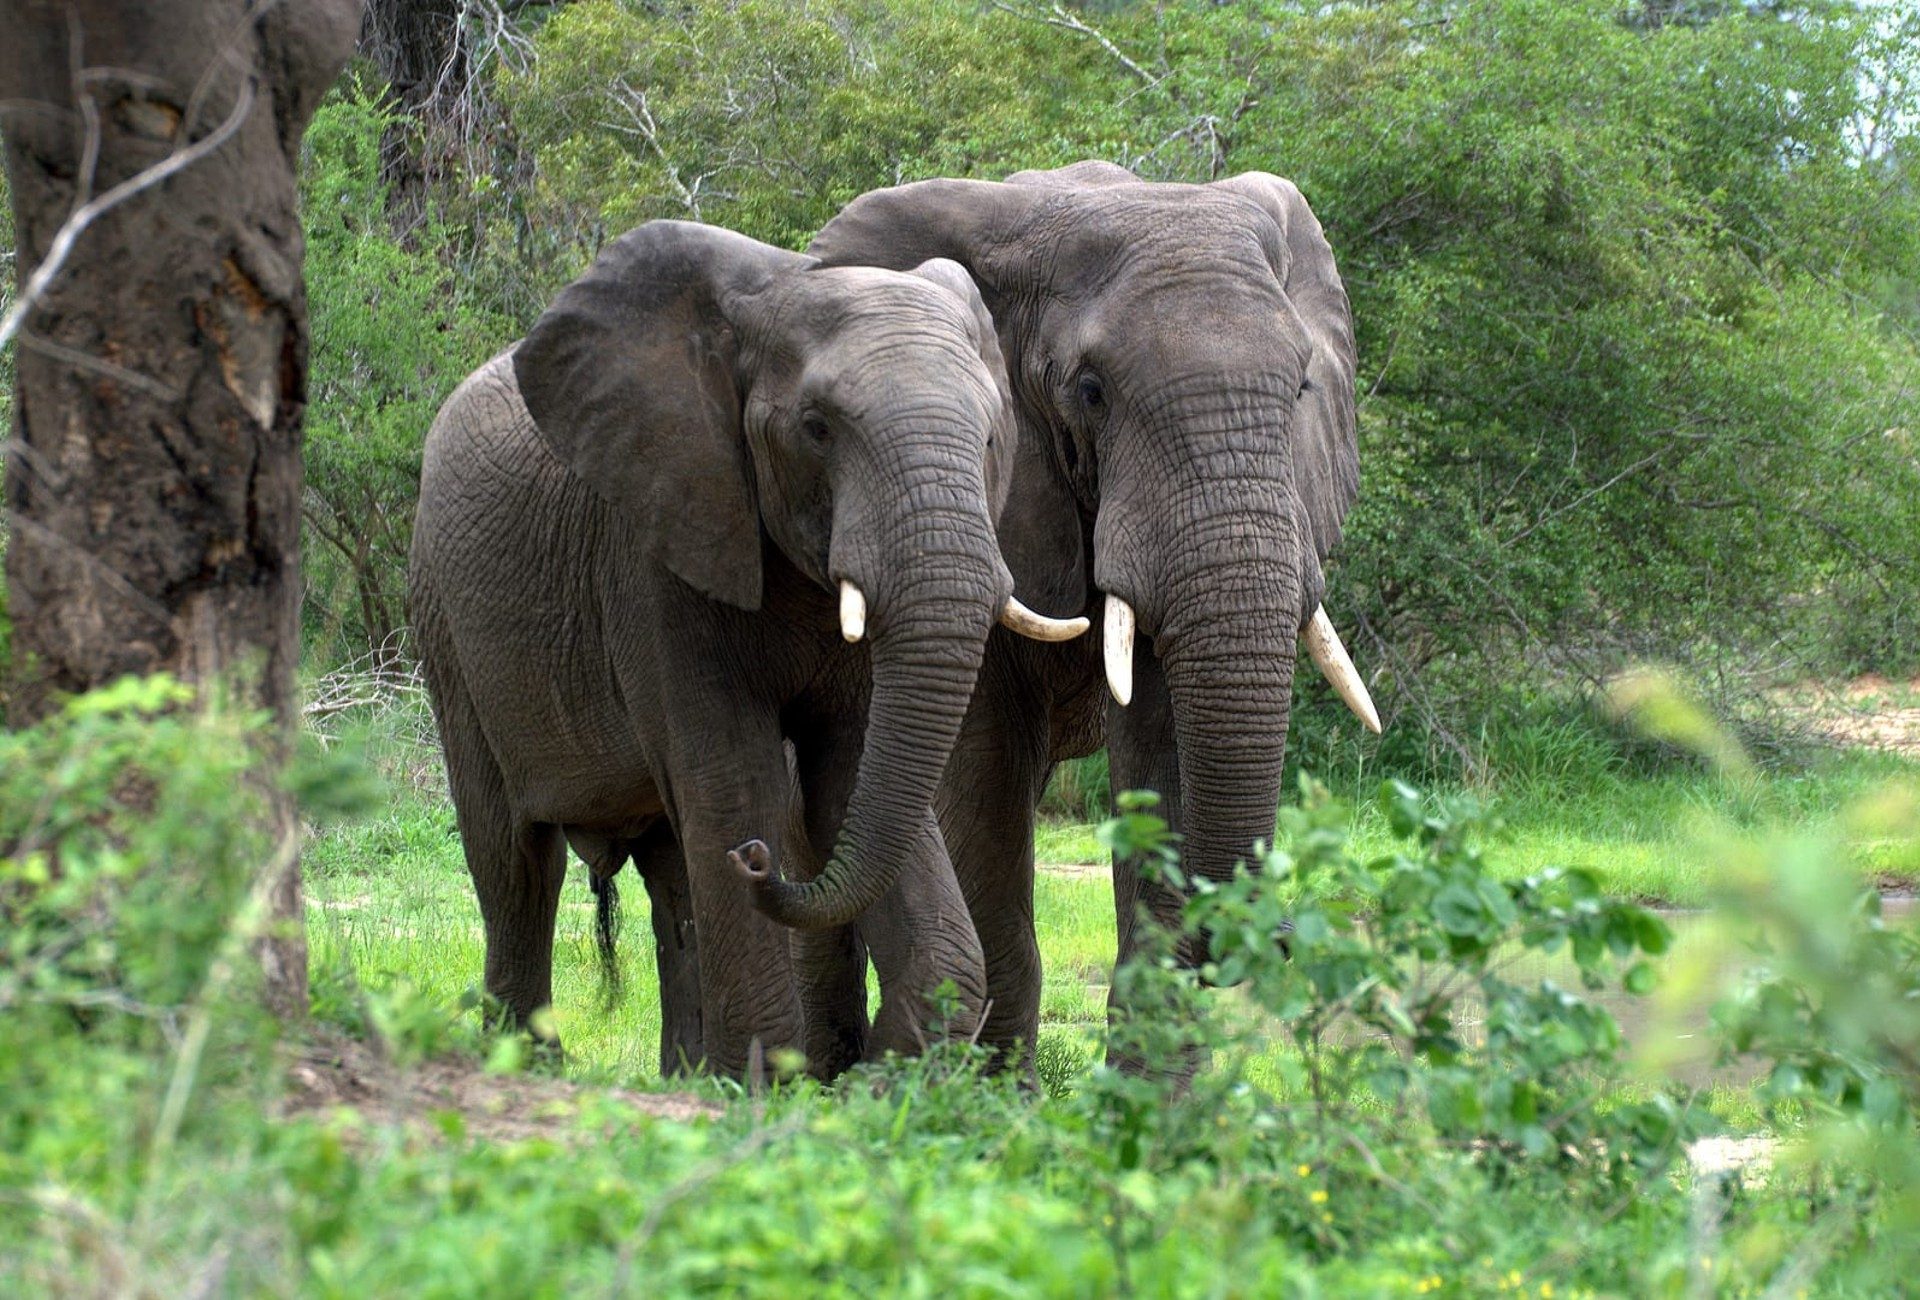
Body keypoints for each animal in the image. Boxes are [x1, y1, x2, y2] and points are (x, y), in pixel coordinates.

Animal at [410, 220, 1090, 1075]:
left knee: (669, 874)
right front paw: (762, 1090)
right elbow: (731, 779)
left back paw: (686, 1076)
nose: (760, 859)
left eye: (993, 436)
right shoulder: (655, 549)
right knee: (516, 863)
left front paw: (867, 1081)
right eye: (816, 428)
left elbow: (853, 778)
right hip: (445, 620)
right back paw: (531, 1067)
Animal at [764, 162, 1382, 1075]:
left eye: (1302, 386)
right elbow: (982, 774)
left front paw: (1149, 1098)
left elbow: (1159, 744)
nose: (1270, 931)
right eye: (1091, 392)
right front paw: (992, 1103)